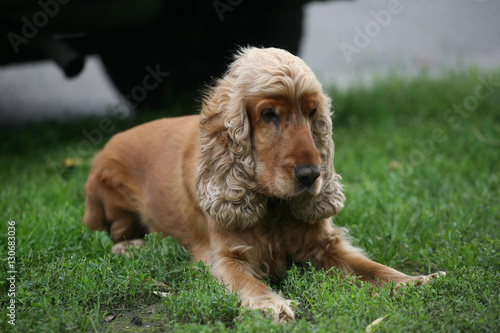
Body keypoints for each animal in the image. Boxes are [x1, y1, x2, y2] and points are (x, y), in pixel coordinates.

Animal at [83, 46, 446, 322]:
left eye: (312, 112)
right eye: (269, 114)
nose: (311, 175)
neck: (273, 207)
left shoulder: (324, 244)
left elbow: (371, 268)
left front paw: (416, 281)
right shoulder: (225, 256)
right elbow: (247, 282)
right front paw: (270, 304)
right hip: (109, 189)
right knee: (115, 231)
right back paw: (131, 247)